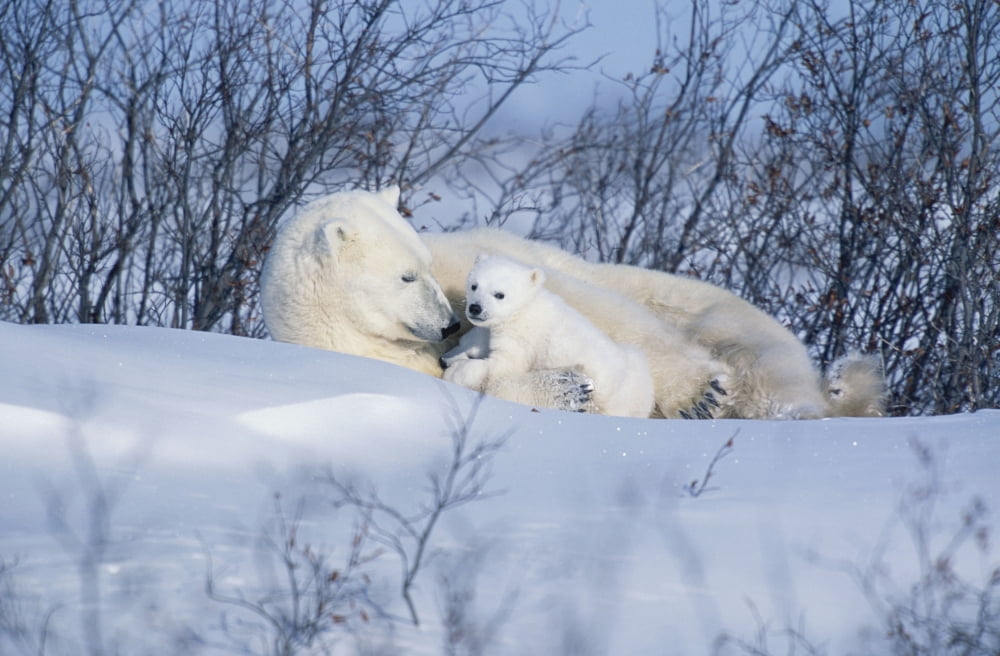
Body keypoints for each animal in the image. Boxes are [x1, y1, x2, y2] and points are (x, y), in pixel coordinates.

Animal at [441, 254, 656, 418]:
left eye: (499, 294)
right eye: (474, 285)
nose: (475, 308)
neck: (525, 308)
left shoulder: (522, 337)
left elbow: (503, 367)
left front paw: (457, 371)